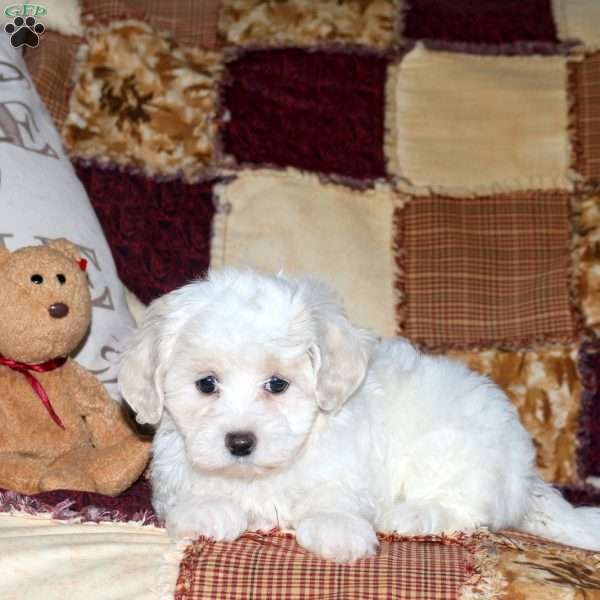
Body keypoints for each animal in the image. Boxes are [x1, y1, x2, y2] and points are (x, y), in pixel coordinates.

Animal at [119, 268, 600, 564]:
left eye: (277, 384)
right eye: (206, 384)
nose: (239, 442)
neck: (261, 474)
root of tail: (525, 475)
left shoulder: (347, 464)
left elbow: (334, 495)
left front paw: (336, 529)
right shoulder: (173, 471)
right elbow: (190, 494)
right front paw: (209, 509)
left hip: (454, 449)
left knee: (470, 508)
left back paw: (413, 515)